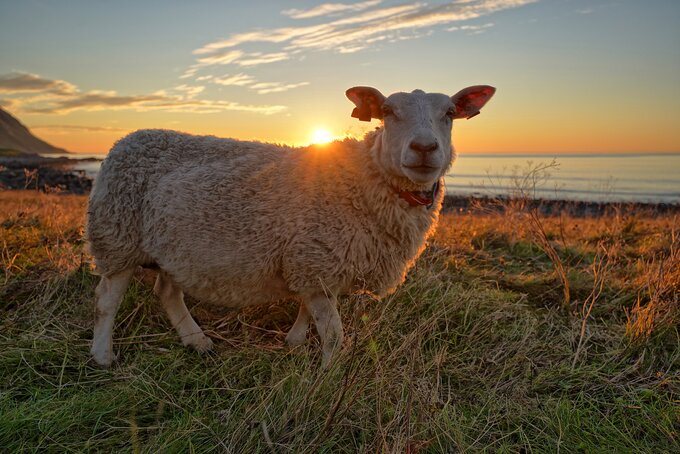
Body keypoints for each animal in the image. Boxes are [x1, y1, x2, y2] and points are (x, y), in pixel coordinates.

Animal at [87, 86, 496, 368]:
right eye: (387, 111)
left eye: (450, 113)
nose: (424, 148)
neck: (365, 177)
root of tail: (124, 140)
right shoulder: (315, 261)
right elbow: (334, 334)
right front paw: (328, 375)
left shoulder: (313, 263)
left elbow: (306, 312)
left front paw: (295, 342)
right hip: (116, 236)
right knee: (106, 301)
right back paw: (103, 356)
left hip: (173, 248)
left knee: (167, 292)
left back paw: (197, 341)